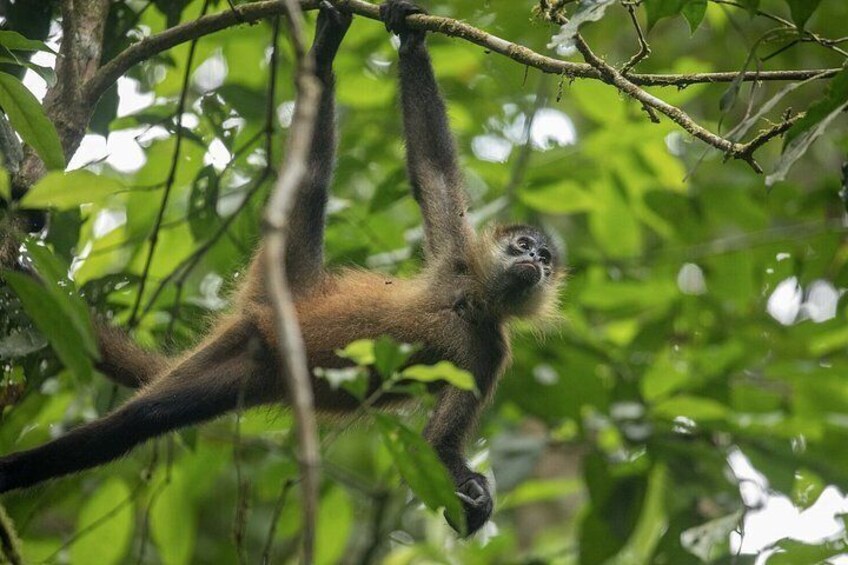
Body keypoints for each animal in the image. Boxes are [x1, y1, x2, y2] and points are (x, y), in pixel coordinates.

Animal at [0, 0, 561, 536]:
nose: (534, 261)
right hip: (253, 331)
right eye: (523, 246)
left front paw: (474, 499)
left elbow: (439, 445)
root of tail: (284, 296)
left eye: (547, 261)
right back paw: (324, 53)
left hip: (246, 367)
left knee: (146, 418)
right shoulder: (457, 261)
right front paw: (410, 37)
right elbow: (431, 172)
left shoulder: (489, 351)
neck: (472, 304)